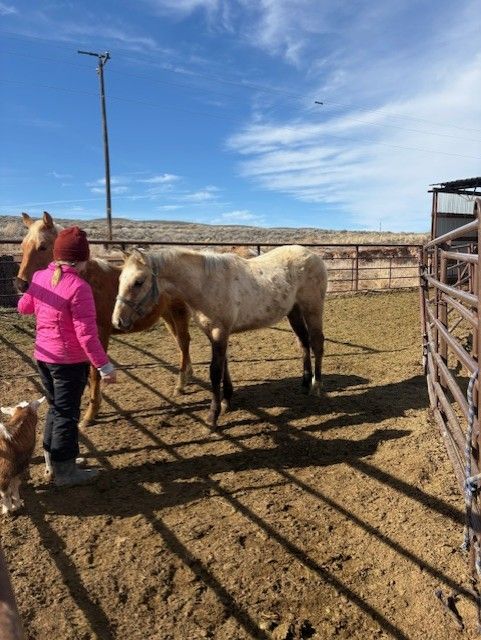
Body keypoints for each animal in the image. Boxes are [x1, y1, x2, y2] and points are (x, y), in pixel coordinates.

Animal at [16, 212, 193, 427]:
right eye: (23, 246)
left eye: (42, 246)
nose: (21, 284)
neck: (89, 282)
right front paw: (95, 407)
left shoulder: (100, 333)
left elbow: (95, 373)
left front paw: (90, 415)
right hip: (167, 315)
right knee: (181, 343)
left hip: (179, 312)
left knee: (184, 342)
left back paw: (181, 385)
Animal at [112, 245, 328, 428]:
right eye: (120, 280)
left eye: (139, 282)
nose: (118, 321)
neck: (205, 284)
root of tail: (313, 255)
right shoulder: (213, 333)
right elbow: (224, 365)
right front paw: (226, 401)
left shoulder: (220, 332)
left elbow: (215, 371)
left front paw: (212, 416)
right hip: (294, 311)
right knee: (303, 342)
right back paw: (304, 383)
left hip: (312, 309)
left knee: (317, 343)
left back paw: (316, 386)